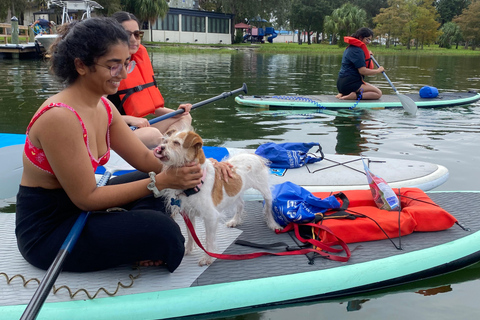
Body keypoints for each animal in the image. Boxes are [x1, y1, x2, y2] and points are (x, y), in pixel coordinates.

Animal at [156, 129, 280, 266]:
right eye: (165, 141)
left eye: (176, 143)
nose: (160, 148)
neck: (196, 183)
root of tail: (253, 155)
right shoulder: (188, 213)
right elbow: (190, 234)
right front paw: (188, 249)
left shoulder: (210, 217)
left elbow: (209, 239)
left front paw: (208, 257)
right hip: (235, 192)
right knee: (240, 204)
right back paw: (234, 220)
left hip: (265, 191)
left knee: (268, 207)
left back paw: (273, 224)